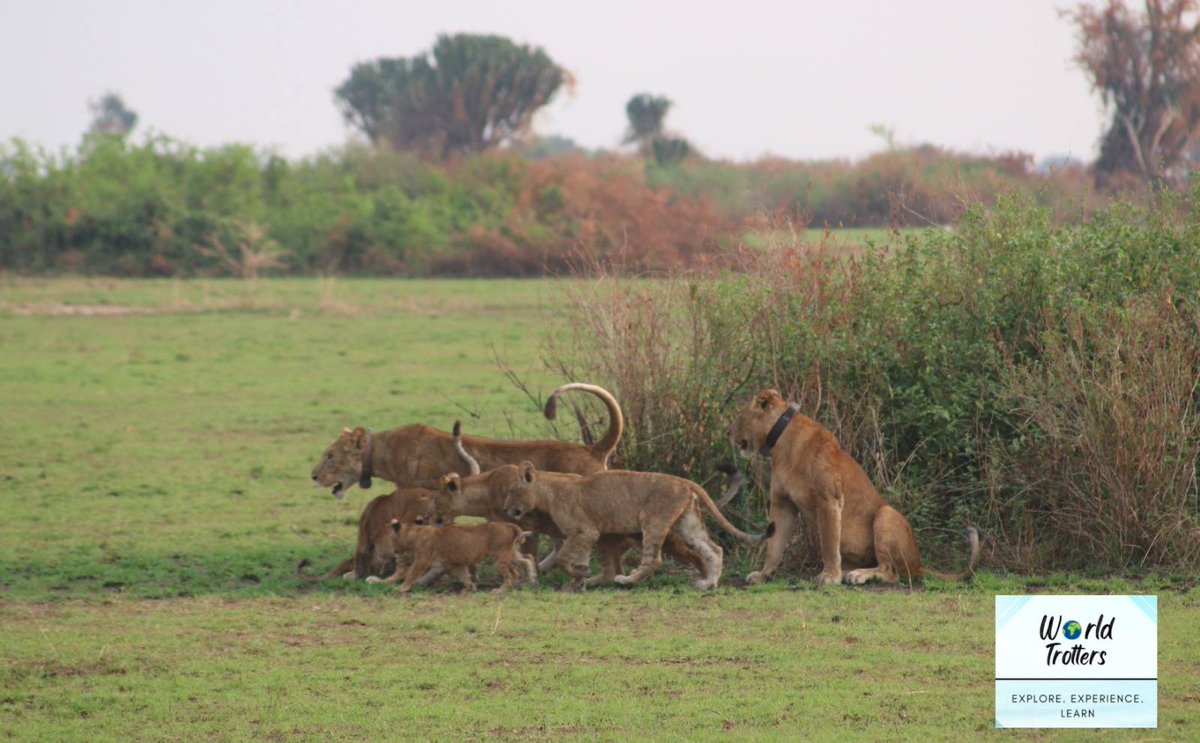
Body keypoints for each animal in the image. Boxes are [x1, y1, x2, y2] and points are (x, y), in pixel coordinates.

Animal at [369, 520, 537, 594]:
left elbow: (411, 574)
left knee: (513, 573)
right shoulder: (454, 564)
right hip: (510, 553)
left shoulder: (422, 560)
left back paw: (500, 590)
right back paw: (532, 579)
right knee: (527, 559)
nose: (378, 550)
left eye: (381, 538)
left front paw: (401, 588)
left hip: (500, 555)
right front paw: (470, 587)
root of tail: (509, 524)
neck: (413, 533)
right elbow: (463, 575)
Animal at [430, 465, 750, 587]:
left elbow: (563, 558)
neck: (548, 489)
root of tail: (684, 481)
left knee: (653, 559)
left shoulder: (584, 531)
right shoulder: (586, 534)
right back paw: (708, 583)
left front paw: (578, 576)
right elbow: (575, 558)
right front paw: (580, 580)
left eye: (513, 491)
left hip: (653, 521)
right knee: (713, 550)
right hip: (687, 523)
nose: (509, 510)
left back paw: (627, 580)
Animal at [728, 388, 980, 586]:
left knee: (891, 572)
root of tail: (918, 563)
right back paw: (848, 573)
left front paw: (829, 577)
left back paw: (858, 576)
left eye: (739, 416)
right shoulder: (783, 504)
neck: (780, 446)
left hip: (886, 514)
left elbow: (829, 543)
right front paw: (763, 574)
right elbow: (774, 545)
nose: (729, 433)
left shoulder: (828, 500)